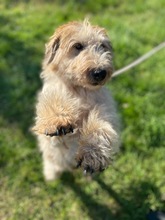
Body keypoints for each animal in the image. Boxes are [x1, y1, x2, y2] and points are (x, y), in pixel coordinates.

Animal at [32, 19, 120, 180]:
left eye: (102, 46)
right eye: (78, 46)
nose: (100, 72)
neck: (80, 91)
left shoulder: (105, 110)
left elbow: (100, 128)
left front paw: (93, 154)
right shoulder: (54, 139)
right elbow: (54, 101)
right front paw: (58, 119)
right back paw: (51, 174)